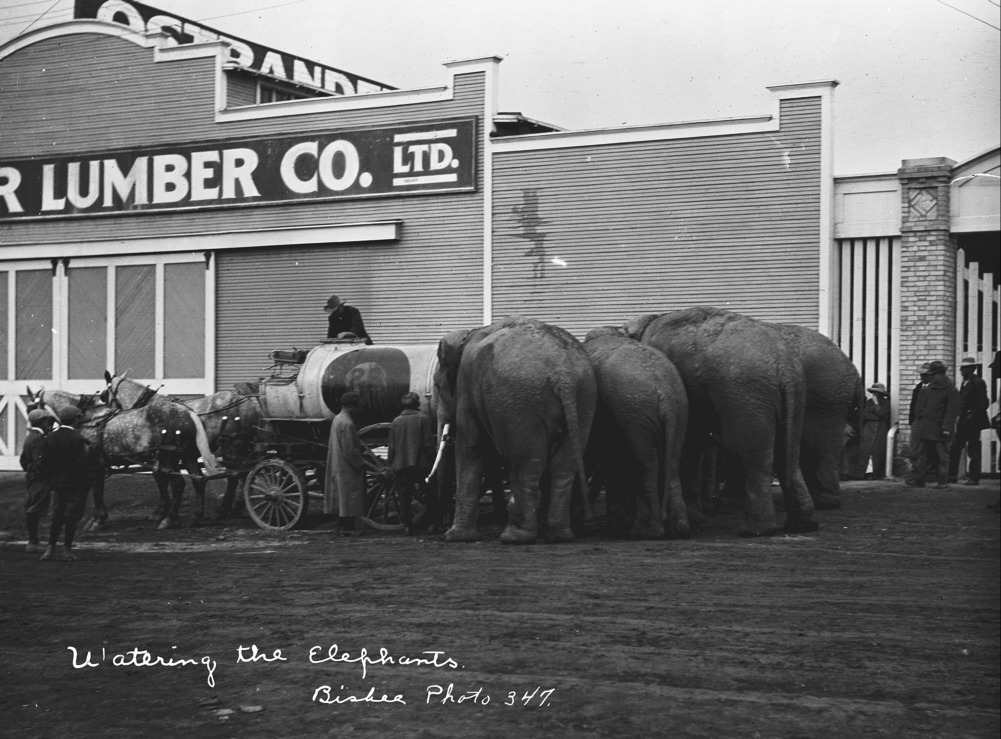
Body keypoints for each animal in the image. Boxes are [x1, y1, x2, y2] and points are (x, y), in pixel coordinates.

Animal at [434, 316, 597, 544]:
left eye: (436, 386)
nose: (440, 527)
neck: (468, 333)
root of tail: (563, 375)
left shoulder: (466, 391)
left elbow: (471, 447)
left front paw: (455, 536)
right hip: (584, 398)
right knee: (565, 464)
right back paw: (558, 535)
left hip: (520, 403)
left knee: (525, 464)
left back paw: (515, 537)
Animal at [582, 328, 690, 539]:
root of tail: (665, 394)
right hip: (677, 410)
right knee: (673, 461)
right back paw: (679, 529)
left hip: (634, 413)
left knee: (644, 464)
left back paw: (642, 532)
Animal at [624, 306, 819, 537]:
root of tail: (785, 366)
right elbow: (693, 445)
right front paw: (697, 521)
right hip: (795, 393)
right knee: (788, 454)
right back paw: (802, 525)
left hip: (746, 394)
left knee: (754, 456)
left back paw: (755, 531)